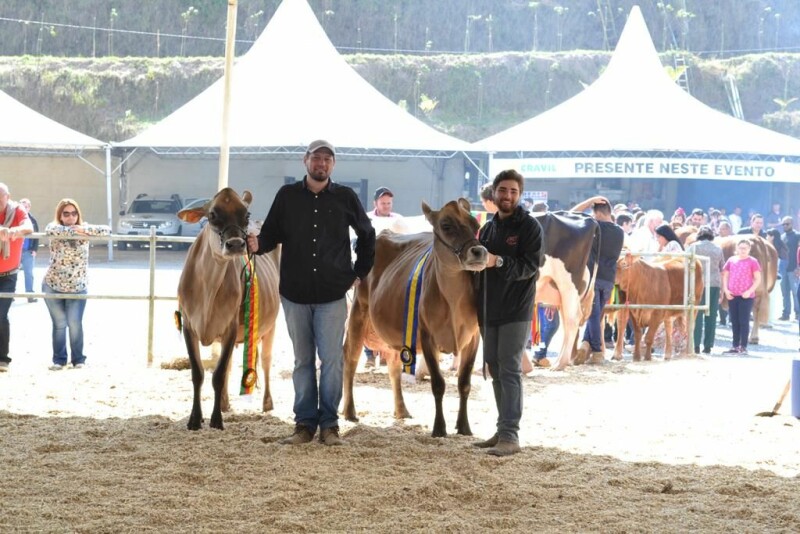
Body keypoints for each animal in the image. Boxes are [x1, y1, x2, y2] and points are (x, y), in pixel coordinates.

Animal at [178, 188, 282, 432]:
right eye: (212, 215)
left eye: (246, 214)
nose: (236, 244)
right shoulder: (188, 326)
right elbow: (198, 373)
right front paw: (195, 419)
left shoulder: (230, 328)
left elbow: (217, 375)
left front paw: (216, 420)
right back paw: (225, 403)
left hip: (271, 325)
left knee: (265, 360)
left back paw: (267, 403)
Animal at [342, 199, 488, 438]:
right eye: (446, 225)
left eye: (475, 224)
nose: (479, 251)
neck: (453, 301)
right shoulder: (427, 335)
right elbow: (438, 384)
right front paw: (439, 428)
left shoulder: (473, 337)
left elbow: (464, 383)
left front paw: (464, 427)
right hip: (358, 311)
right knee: (350, 359)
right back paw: (349, 411)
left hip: (395, 334)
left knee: (393, 367)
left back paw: (402, 410)